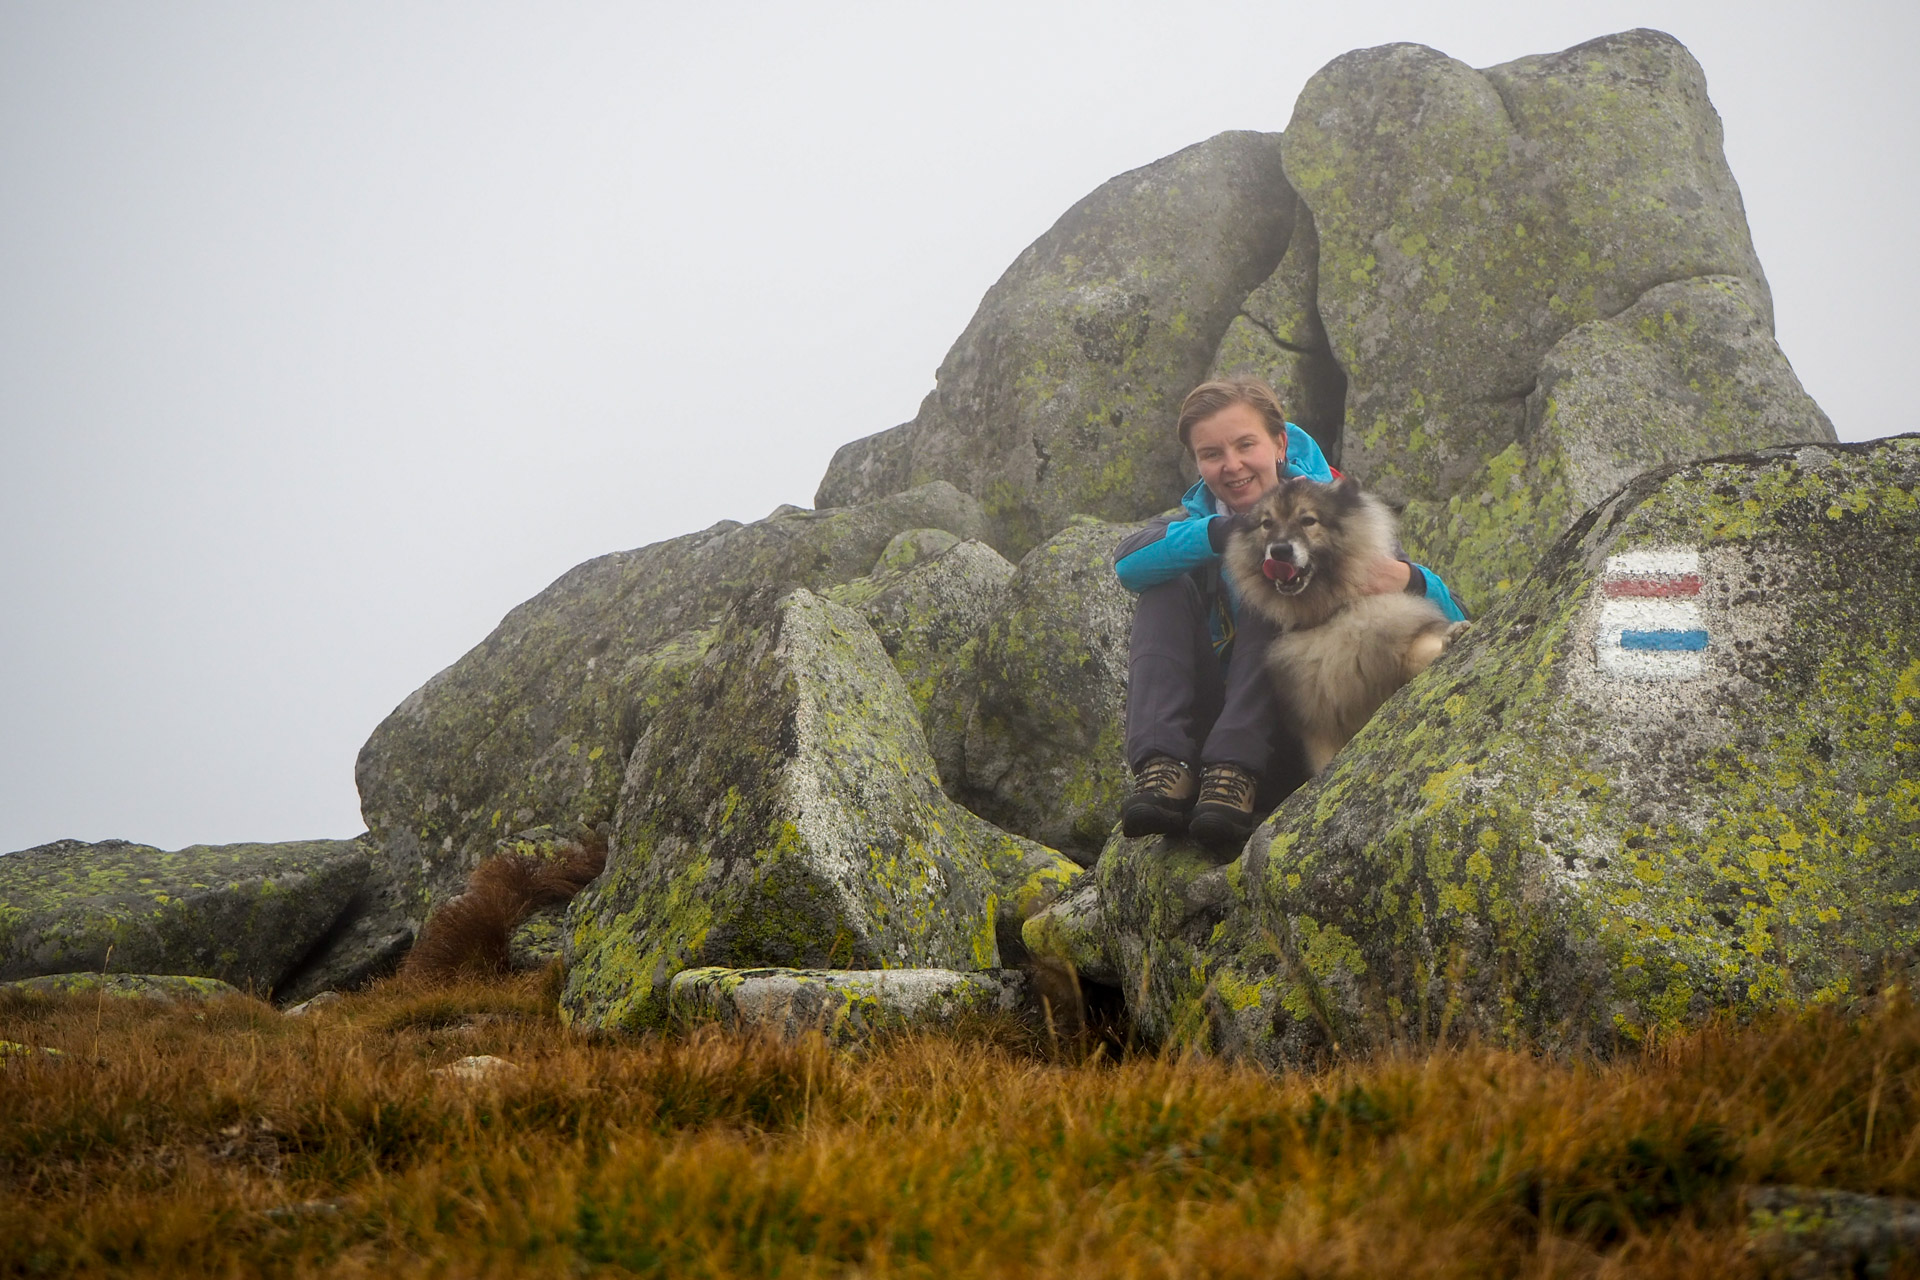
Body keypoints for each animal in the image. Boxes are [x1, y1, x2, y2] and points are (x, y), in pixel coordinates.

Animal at [1221, 477, 1459, 771]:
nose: (1279, 551)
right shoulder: (1316, 727)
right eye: (1267, 523)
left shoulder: (1398, 644)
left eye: (1308, 520)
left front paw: (1453, 635)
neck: (1328, 618)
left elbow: (1421, 648)